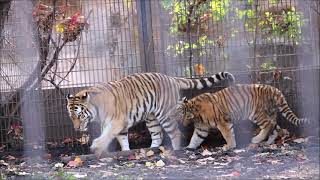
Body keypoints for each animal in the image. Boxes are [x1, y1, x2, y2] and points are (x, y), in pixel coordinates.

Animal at [66, 71, 234, 156]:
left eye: (79, 116)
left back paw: (175, 150)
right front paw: (125, 152)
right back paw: (150, 150)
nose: (76, 128)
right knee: (157, 135)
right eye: (71, 117)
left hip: (165, 115)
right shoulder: (115, 124)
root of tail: (171, 78)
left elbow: (107, 135)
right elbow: (122, 139)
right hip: (151, 118)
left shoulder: (117, 122)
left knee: (175, 133)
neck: (96, 108)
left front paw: (97, 146)